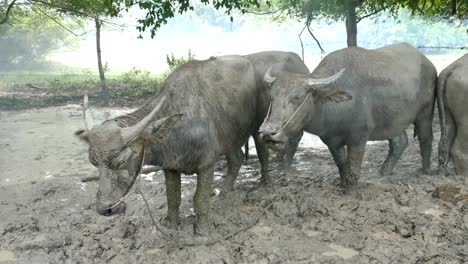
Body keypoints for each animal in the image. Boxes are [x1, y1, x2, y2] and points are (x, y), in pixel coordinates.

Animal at [76, 56, 270, 235]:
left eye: (121, 161)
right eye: (94, 163)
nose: (104, 209)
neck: (180, 124)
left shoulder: (207, 165)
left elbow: (200, 199)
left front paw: (202, 231)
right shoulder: (170, 166)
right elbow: (173, 197)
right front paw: (171, 225)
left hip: (257, 126)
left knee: (261, 151)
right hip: (230, 138)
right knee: (237, 159)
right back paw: (225, 193)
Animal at [260, 43, 438, 188]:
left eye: (298, 97)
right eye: (272, 97)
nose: (268, 133)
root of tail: (427, 62)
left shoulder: (359, 137)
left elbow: (352, 167)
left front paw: (350, 188)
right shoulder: (332, 141)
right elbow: (342, 164)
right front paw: (343, 182)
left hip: (425, 112)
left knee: (426, 138)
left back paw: (426, 170)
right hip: (392, 119)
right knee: (399, 141)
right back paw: (385, 171)